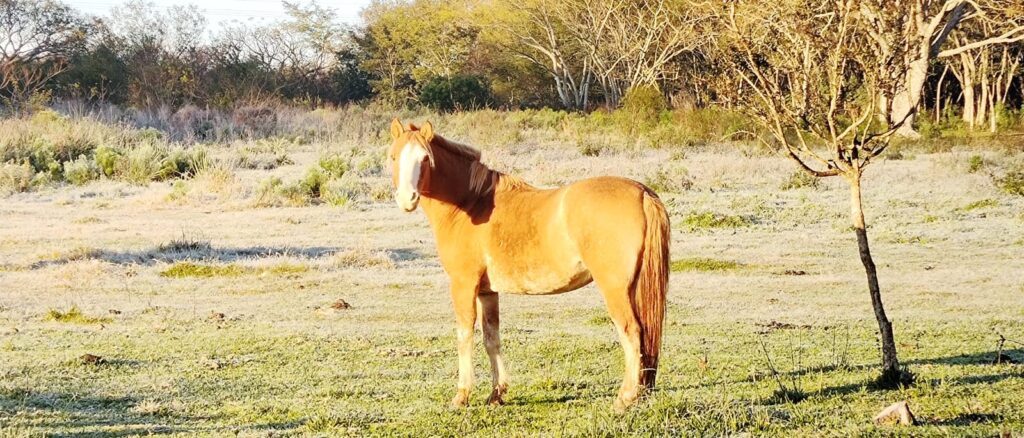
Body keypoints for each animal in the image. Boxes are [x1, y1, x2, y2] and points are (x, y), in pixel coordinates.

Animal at [385, 118, 671, 409]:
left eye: (425, 158)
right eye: (394, 156)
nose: (407, 199)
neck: (470, 203)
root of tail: (642, 193)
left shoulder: (463, 286)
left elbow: (464, 336)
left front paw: (461, 395)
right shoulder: (488, 292)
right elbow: (491, 338)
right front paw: (496, 393)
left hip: (615, 289)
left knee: (631, 332)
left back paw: (625, 399)